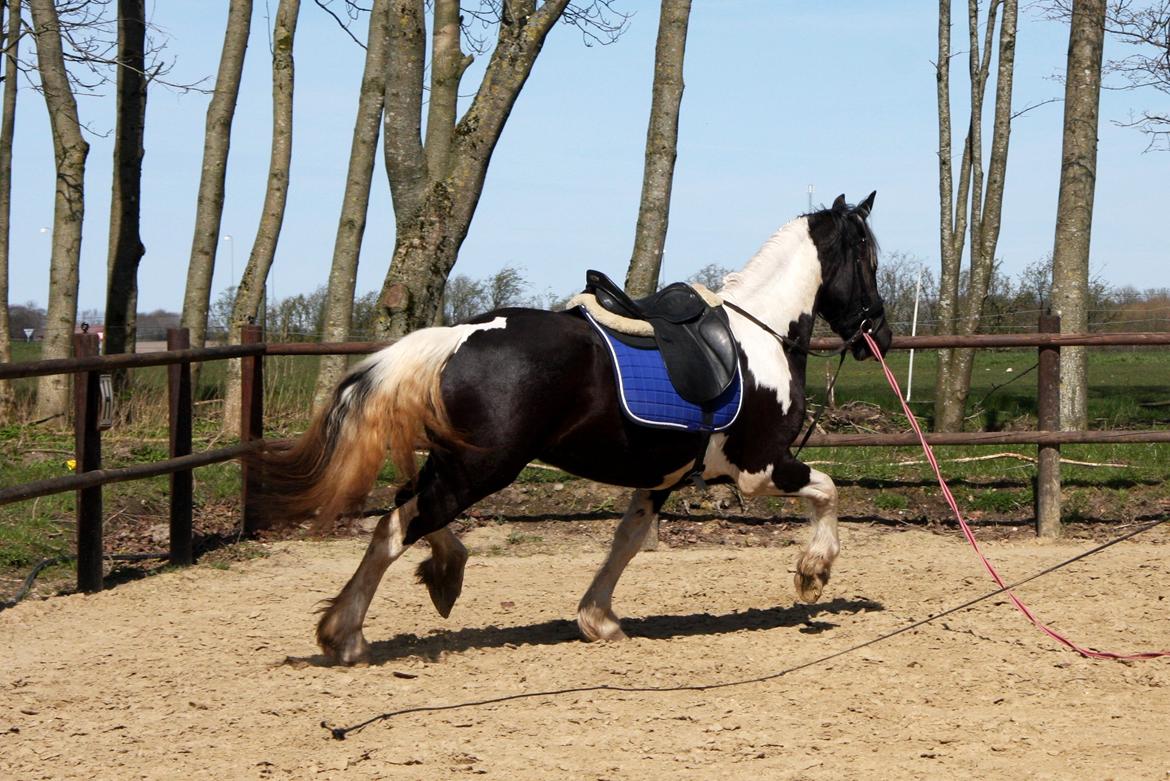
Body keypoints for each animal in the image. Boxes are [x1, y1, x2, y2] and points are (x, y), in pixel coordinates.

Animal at [256, 190, 889, 664]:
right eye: (870, 260)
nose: (875, 329)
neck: (760, 335)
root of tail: (460, 335)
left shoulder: (659, 479)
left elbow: (627, 541)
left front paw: (598, 619)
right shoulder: (759, 469)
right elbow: (828, 490)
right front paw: (813, 573)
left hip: (461, 460)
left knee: (409, 505)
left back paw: (442, 573)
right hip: (484, 467)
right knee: (400, 522)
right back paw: (346, 633)